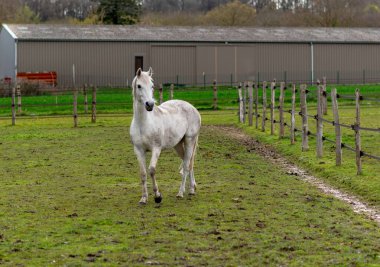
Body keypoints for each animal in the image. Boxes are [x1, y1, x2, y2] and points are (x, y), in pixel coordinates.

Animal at [130, 67, 202, 205]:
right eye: (139, 85)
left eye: (152, 86)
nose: (150, 104)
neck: (143, 123)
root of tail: (193, 108)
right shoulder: (138, 150)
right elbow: (143, 173)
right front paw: (144, 198)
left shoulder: (156, 148)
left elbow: (152, 170)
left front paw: (158, 196)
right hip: (178, 145)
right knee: (188, 163)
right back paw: (192, 189)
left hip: (190, 140)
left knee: (186, 165)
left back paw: (181, 193)